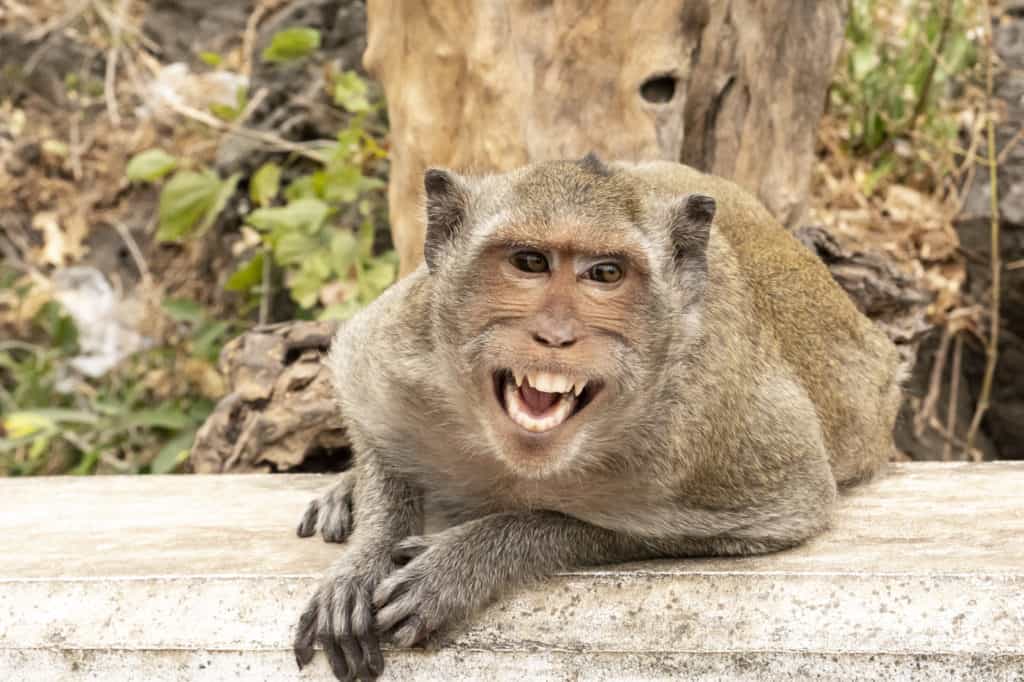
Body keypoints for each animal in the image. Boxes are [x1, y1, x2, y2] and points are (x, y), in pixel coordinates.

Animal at [292, 155, 901, 679]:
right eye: (530, 262)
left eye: (605, 274)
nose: (556, 334)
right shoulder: (412, 345)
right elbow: (360, 377)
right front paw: (365, 558)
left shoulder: (709, 428)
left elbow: (783, 511)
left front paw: (464, 560)